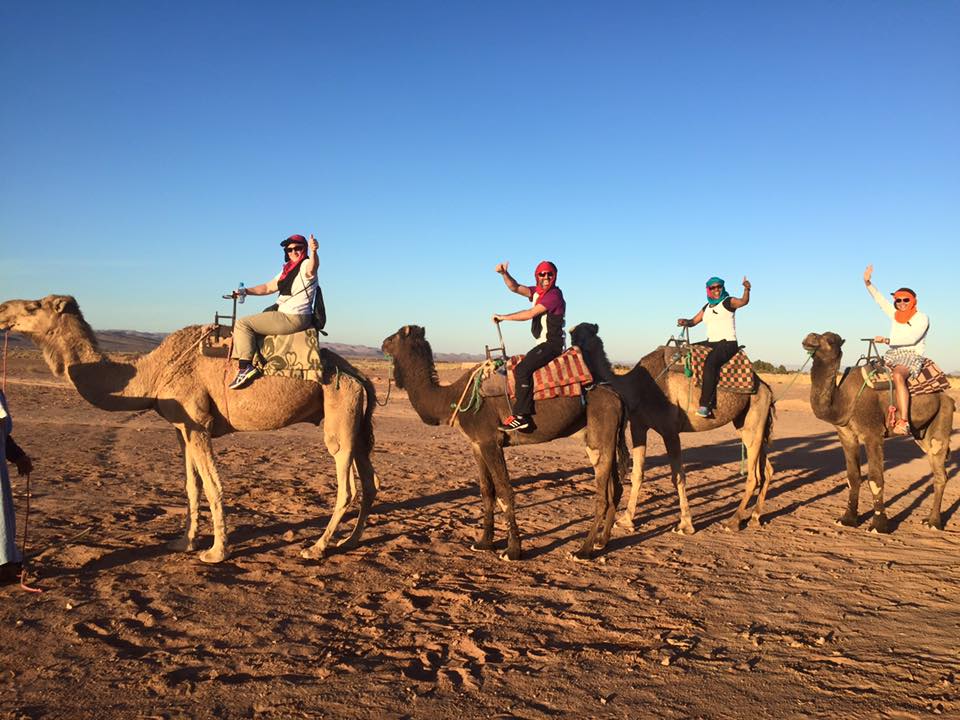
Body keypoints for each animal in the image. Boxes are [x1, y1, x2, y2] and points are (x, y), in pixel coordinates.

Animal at [0, 295, 379, 563]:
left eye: (33, 305)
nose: (3, 308)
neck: (151, 373)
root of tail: (359, 376)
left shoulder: (198, 423)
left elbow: (213, 486)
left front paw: (216, 552)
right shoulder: (180, 428)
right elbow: (191, 487)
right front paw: (183, 541)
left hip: (339, 414)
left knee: (347, 485)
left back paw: (317, 547)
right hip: (357, 423)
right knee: (370, 483)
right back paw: (349, 541)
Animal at [381, 325, 626, 561]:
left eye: (394, 337)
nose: (382, 343)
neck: (452, 398)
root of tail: (616, 396)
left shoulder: (491, 441)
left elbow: (504, 491)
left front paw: (513, 551)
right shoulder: (476, 444)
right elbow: (486, 491)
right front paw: (483, 543)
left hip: (600, 433)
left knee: (602, 495)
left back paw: (583, 551)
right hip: (603, 438)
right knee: (615, 488)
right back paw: (601, 542)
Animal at [570, 323, 775, 533]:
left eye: (580, 335)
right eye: (574, 336)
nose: (570, 349)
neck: (636, 386)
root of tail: (765, 386)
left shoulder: (669, 430)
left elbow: (678, 476)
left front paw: (685, 524)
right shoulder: (638, 426)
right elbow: (637, 473)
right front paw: (626, 520)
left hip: (754, 417)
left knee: (754, 476)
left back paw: (733, 521)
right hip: (748, 423)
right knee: (766, 470)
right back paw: (755, 518)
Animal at [802, 331, 954, 532]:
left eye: (830, 340)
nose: (809, 337)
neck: (843, 401)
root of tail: (948, 397)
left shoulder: (873, 434)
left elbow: (875, 478)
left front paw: (878, 526)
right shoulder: (846, 435)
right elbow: (853, 476)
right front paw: (847, 519)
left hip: (942, 419)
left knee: (940, 473)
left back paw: (934, 523)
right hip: (921, 434)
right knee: (938, 471)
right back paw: (929, 520)